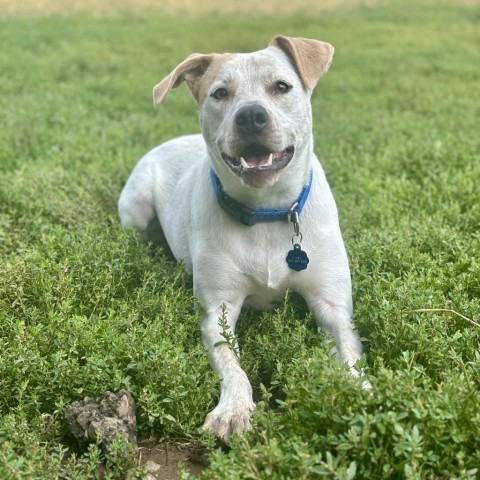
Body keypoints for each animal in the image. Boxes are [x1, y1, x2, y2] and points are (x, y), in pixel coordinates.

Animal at [118, 36, 366, 442]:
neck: (267, 212)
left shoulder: (333, 306)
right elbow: (230, 362)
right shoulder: (217, 309)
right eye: (220, 93)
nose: (250, 115)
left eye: (282, 86)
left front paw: (362, 392)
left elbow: (348, 352)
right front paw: (234, 407)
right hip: (135, 207)